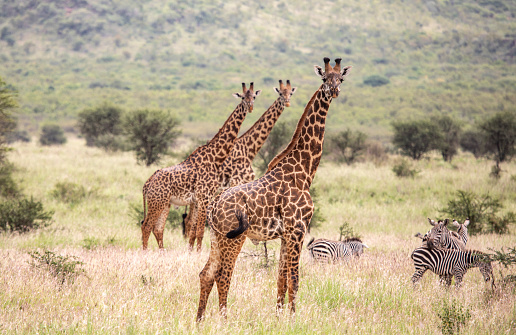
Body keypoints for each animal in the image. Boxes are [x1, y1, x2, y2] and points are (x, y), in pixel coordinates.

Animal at [141, 82, 262, 251]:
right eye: (243, 97)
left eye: (254, 97)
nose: (250, 107)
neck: (216, 158)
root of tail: (147, 184)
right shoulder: (204, 197)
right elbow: (200, 231)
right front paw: (197, 254)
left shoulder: (199, 200)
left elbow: (195, 231)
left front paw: (193, 252)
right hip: (156, 202)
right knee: (146, 226)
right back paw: (145, 252)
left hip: (164, 203)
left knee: (157, 228)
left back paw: (161, 253)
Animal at [181, 79, 296, 240]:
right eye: (280, 94)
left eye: (290, 93)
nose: (287, 102)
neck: (248, 149)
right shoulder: (238, 181)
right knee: (190, 220)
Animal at [197, 58, 350, 322]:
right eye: (324, 78)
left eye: (340, 78)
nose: (334, 91)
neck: (303, 172)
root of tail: (213, 207)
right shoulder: (297, 229)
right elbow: (295, 279)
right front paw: (293, 319)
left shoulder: (285, 235)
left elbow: (281, 279)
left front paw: (279, 317)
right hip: (233, 237)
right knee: (223, 275)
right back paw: (224, 320)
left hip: (216, 236)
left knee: (206, 274)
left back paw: (199, 321)